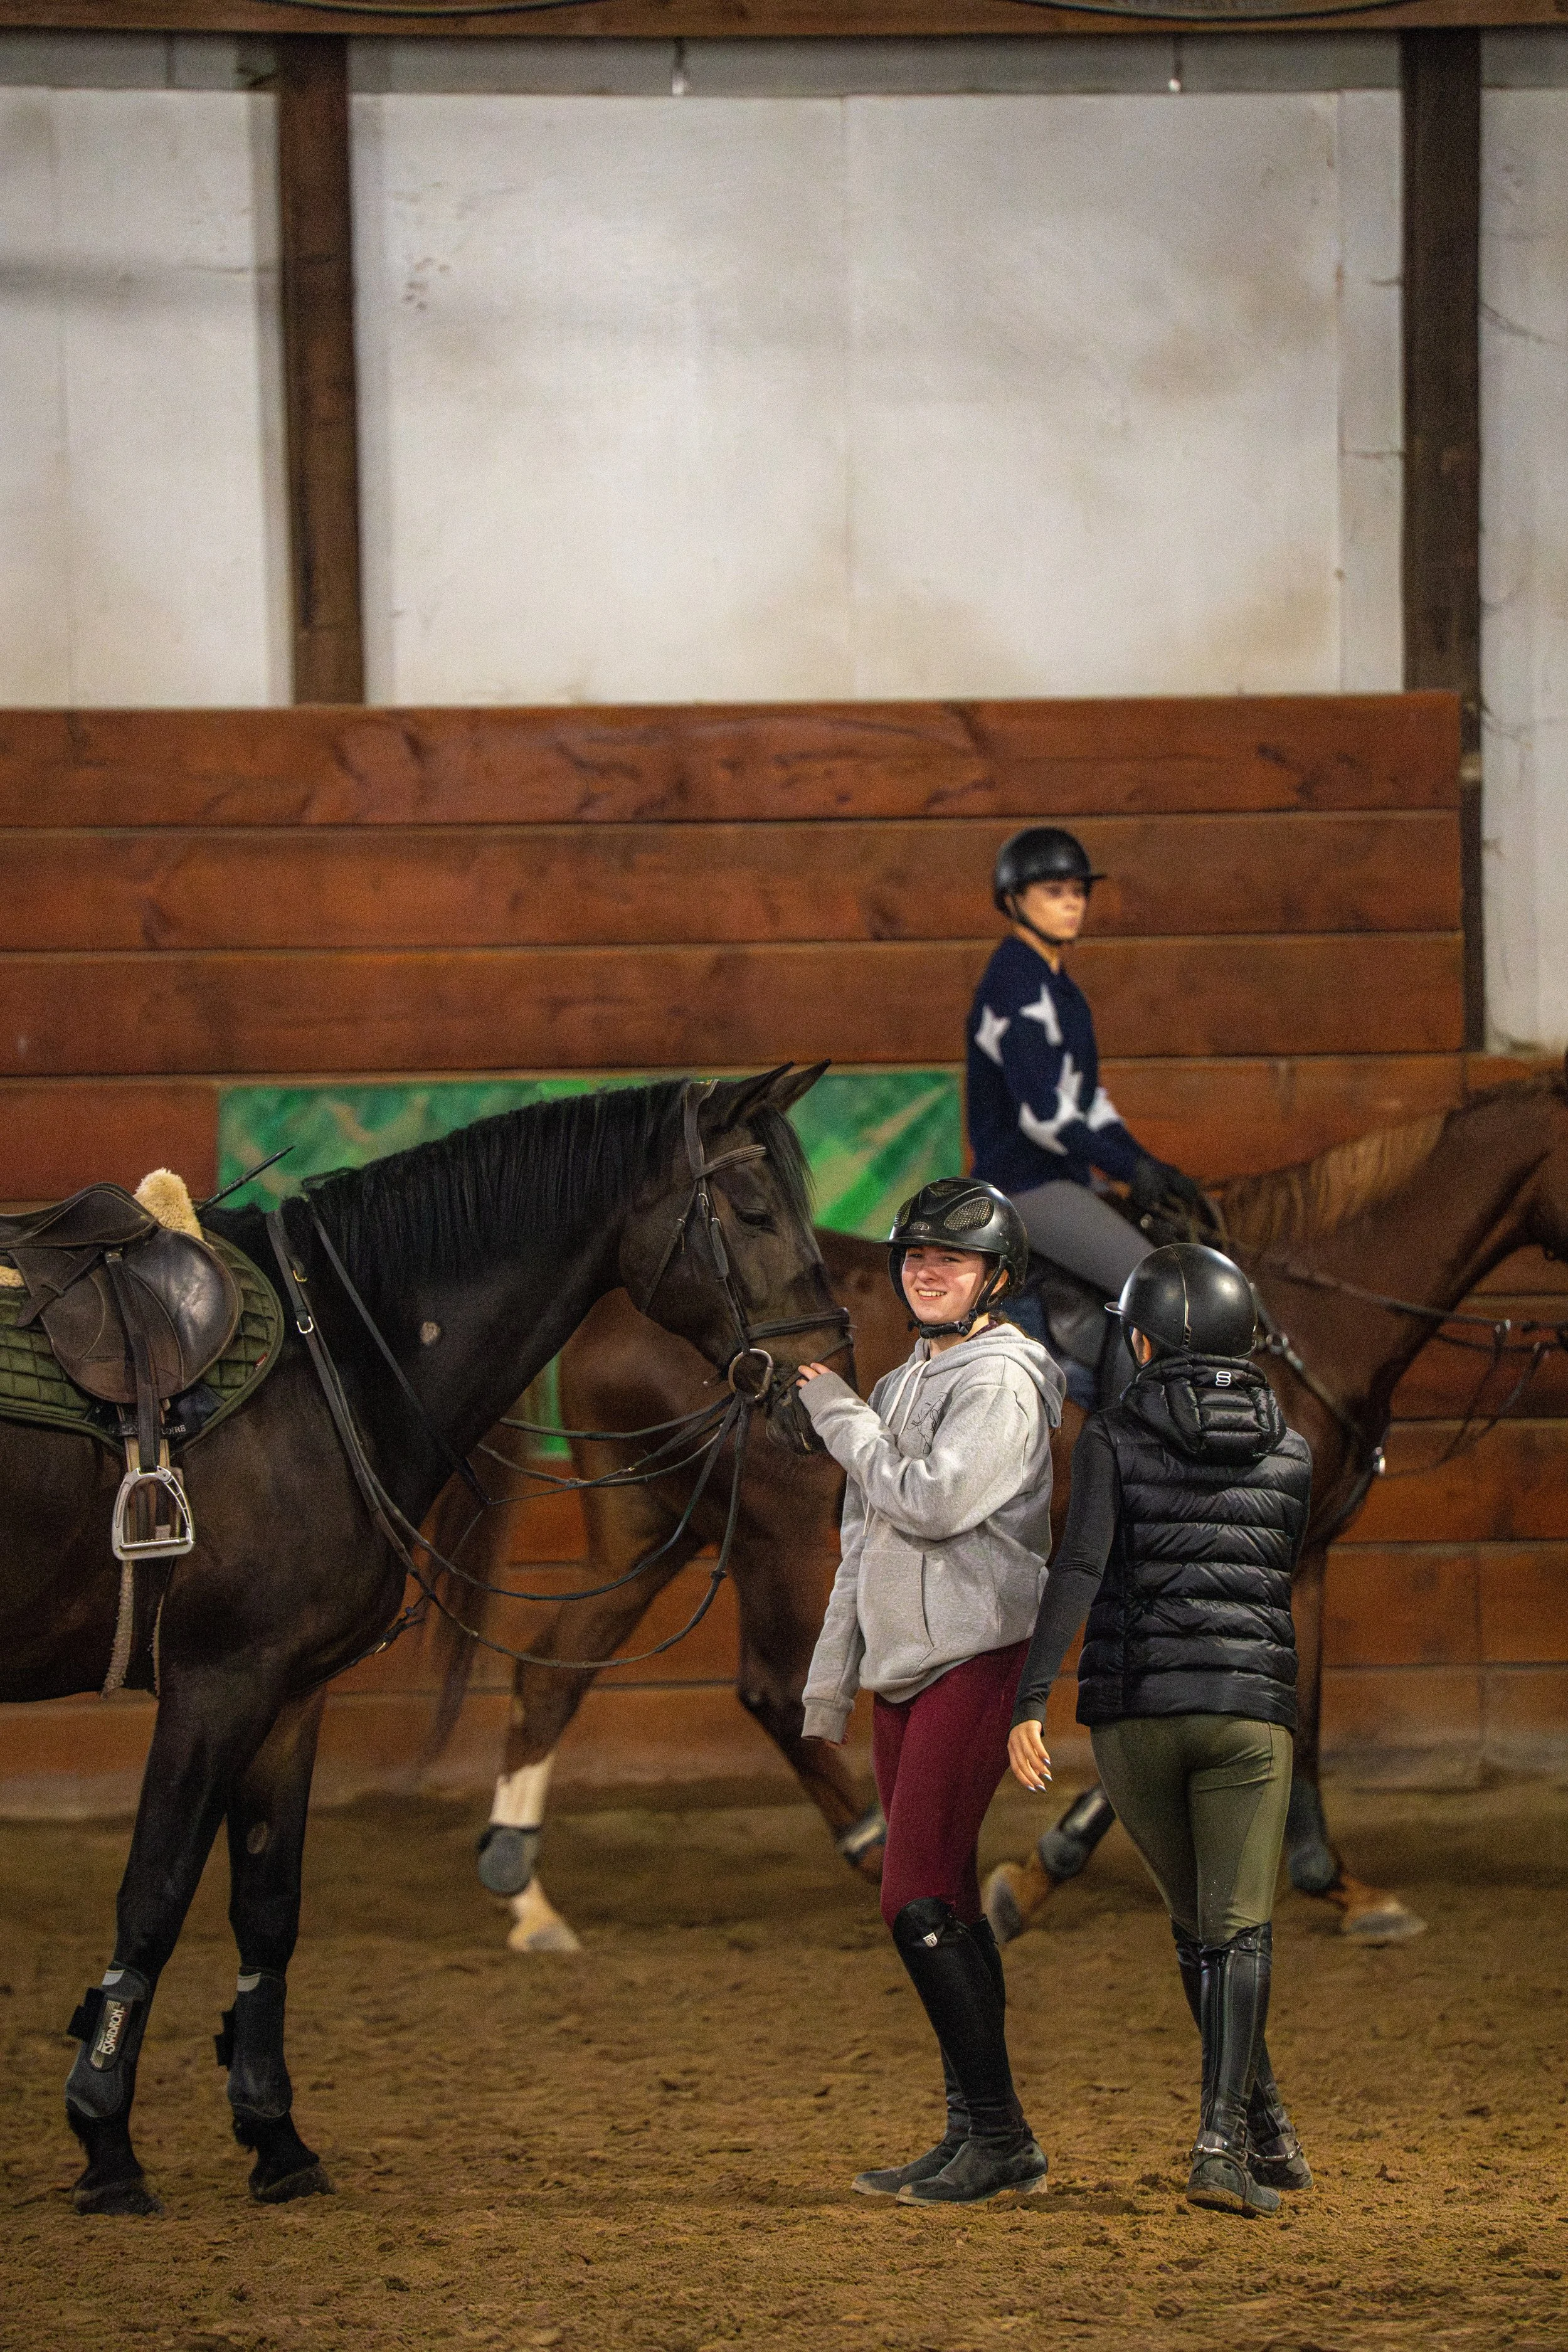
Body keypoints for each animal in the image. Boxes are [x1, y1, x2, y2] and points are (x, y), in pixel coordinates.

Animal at [0, 1065, 843, 2217]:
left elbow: (267, 1907)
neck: (332, 1365)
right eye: (753, 1209)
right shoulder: (216, 1683)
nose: (828, 1385)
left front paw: (275, 2136)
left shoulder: (289, 1692)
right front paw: (105, 2140)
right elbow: (154, 1899)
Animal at [428, 1066, 1568, 1951]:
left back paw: (525, 1893)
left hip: (653, 1527)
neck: (1296, 1316)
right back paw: (882, 1850)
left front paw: (1344, 1885)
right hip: (780, 1539)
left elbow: (1305, 1713)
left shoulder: (1304, 1551)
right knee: (771, 1690)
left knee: (551, 1671)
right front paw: (1038, 1869)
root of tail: (612, 1314)